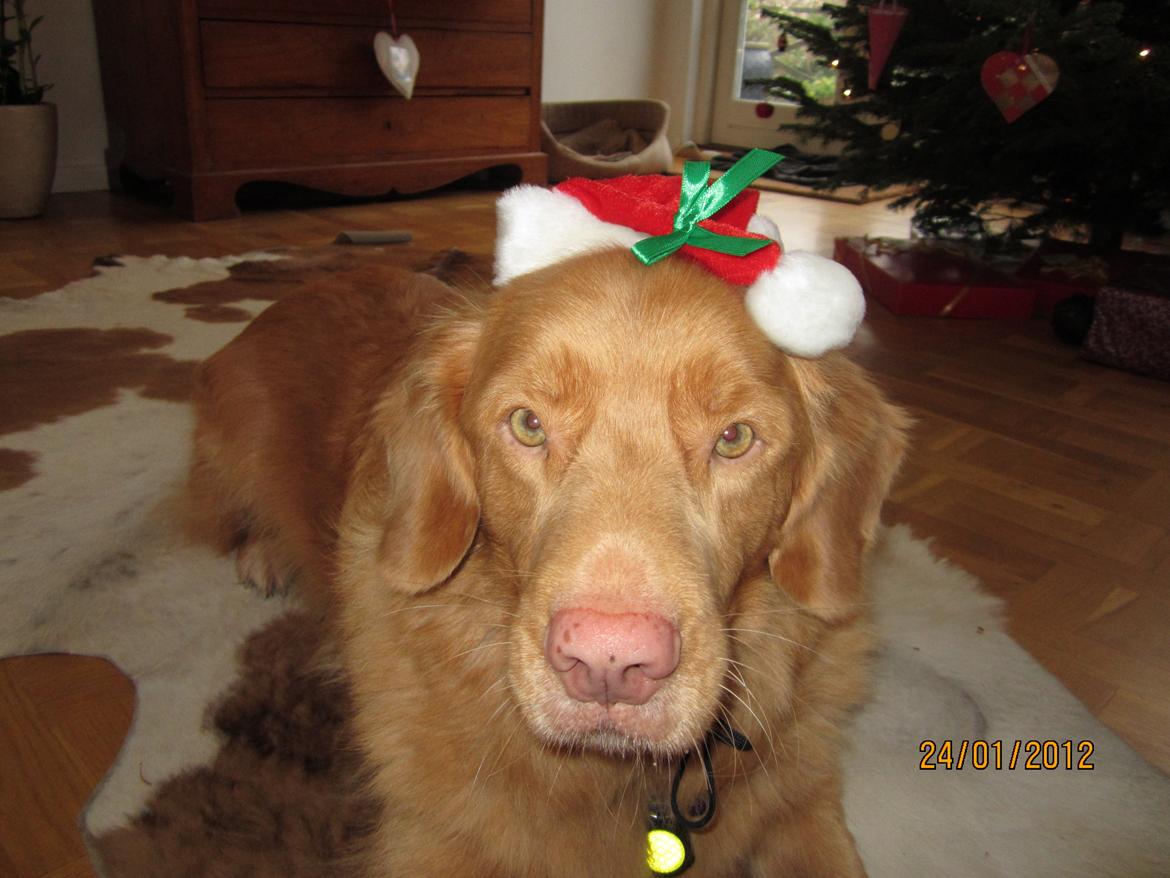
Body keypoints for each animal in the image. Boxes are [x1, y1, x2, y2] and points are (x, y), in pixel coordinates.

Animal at [187, 248, 907, 878]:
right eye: (528, 424)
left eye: (734, 438)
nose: (610, 663)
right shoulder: (429, 841)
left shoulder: (804, 802)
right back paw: (265, 551)